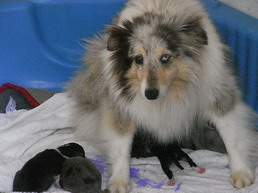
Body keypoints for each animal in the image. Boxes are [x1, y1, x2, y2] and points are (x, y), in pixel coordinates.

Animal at [66, 0, 256, 191]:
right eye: (138, 59)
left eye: (165, 57)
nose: (150, 94)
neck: (170, 94)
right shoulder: (122, 108)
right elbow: (121, 144)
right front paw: (119, 181)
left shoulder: (219, 96)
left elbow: (232, 136)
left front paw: (241, 173)